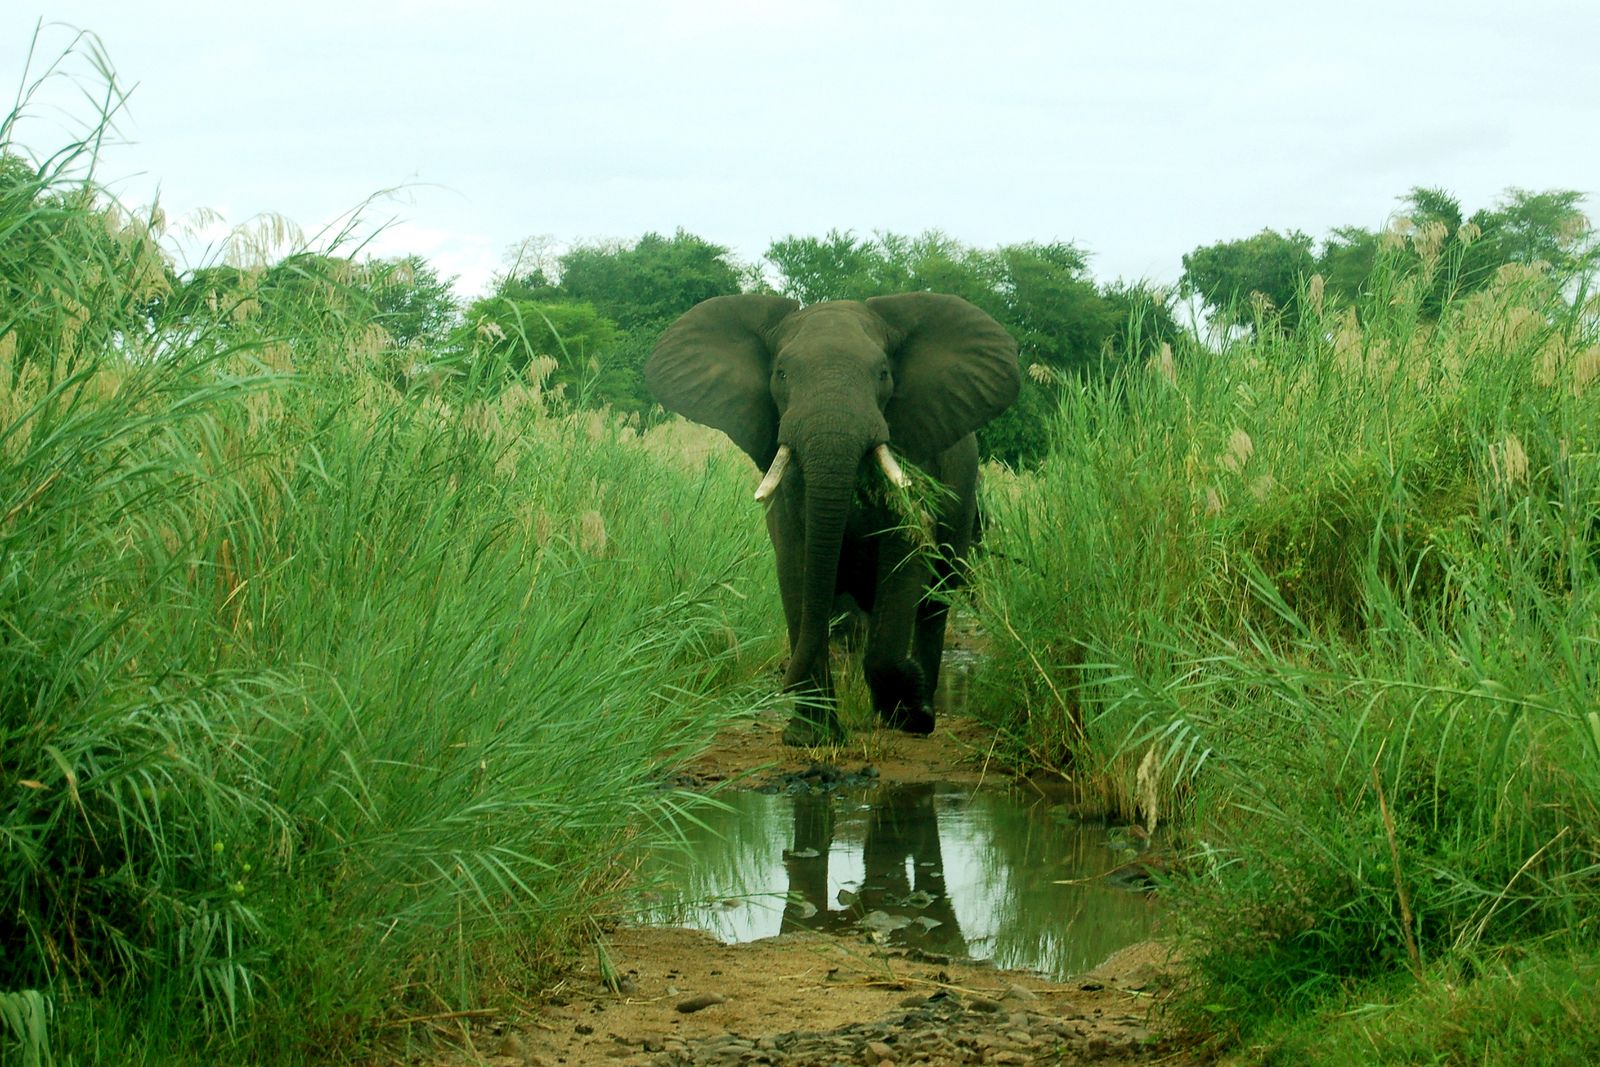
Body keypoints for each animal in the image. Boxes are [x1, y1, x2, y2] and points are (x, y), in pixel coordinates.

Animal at [643, 289, 1017, 742]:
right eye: (781, 373)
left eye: (883, 374)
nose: (782, 679)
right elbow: (797, 562)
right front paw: (809, 738)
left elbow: (906, 552)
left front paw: (909, 707)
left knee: (935, 599)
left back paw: (918, 716)